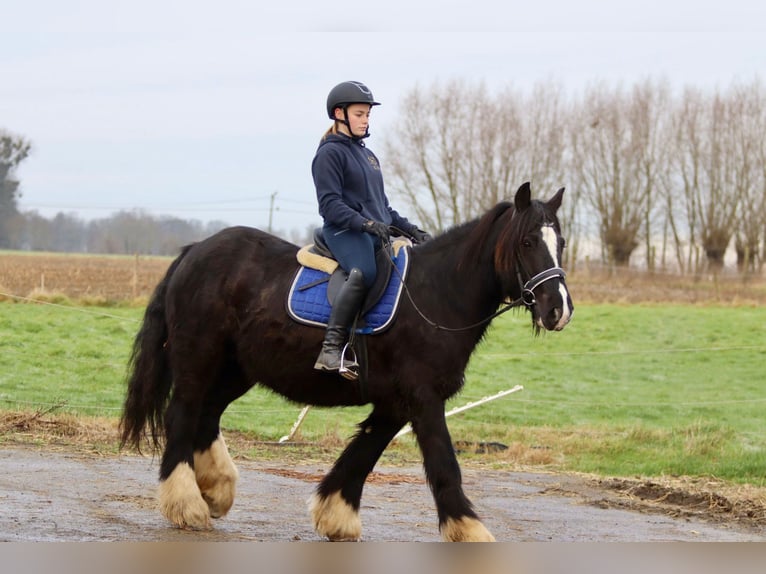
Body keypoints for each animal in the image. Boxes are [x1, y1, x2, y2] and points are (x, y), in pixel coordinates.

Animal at [120, 182, 572, 544]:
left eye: (562, 242)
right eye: (527, 242)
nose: (559, 310)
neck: (436, 294)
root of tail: (194, 251)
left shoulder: (396, 403)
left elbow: (363, 452)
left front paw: (335, 514)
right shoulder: (424, 399)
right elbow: (444, 463)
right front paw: (469, 529)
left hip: (237, 369)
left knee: (207, 414)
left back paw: (216, 490)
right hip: (199, 358)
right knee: (183, 414)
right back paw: (187, 504)